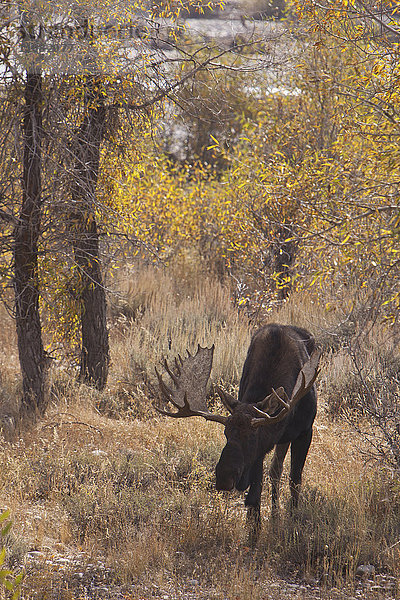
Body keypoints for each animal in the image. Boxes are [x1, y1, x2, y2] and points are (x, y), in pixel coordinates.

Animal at [155, 324, 320, 544]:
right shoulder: (259, 452)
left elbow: (295, 481)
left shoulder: (305, 431)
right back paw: (274, 516)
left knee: (279, 472)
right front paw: (254, 534)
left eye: (253, 435)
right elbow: (255, 492)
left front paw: (292, 525)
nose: (224, 477)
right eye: (226, 433)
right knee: (275, 471)